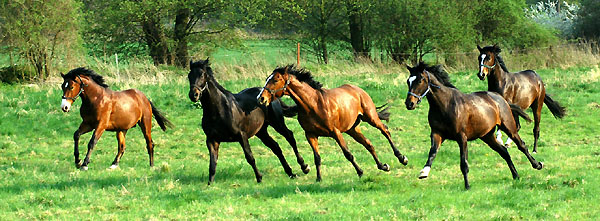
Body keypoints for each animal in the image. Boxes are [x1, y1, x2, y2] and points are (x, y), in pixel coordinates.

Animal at [258, 64, 408, 182]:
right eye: (267, 79)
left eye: (275, 80)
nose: (261, 99)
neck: (313, 105)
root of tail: (358, 89)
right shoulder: (311, 135)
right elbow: (317, 157)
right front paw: (318, 178)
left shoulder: (335, 132)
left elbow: (347, 153)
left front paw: (360, 172)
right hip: (352, 129)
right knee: (368, 144)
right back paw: (383, 166)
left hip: (370, 118)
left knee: (385, 130)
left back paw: (401, 157)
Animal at [404, 62, 544, 190]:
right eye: (408, 81)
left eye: (420, 80)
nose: (409, 104)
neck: (445, 105)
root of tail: (500, 99)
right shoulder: (437, 133)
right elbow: (432, 152)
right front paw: (424, 172)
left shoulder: (462, 137)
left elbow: (464, 163)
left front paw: (467, 186)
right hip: (487, 136)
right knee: (504, 152)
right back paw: (516, 176)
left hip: (509, 127)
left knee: (522, 146)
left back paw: (537, 165)